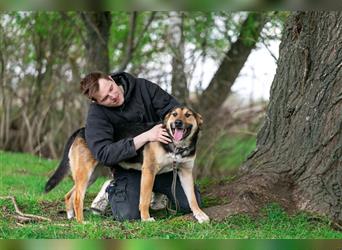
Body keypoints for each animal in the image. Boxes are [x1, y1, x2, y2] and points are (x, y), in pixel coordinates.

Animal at [44, 106, 210, 224]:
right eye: (174, 114)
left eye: (188, 115)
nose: (177, 123)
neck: (176, 147)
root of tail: (82, 129)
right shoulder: (149, 171)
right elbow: (144, 199)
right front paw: (146, 219)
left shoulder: (185, 173)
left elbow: (192, 199)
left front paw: (199, 214)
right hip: (86, 173)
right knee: (78, 197)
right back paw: (82, 222)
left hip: (90, 175)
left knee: (69, 195)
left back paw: (71, 216)